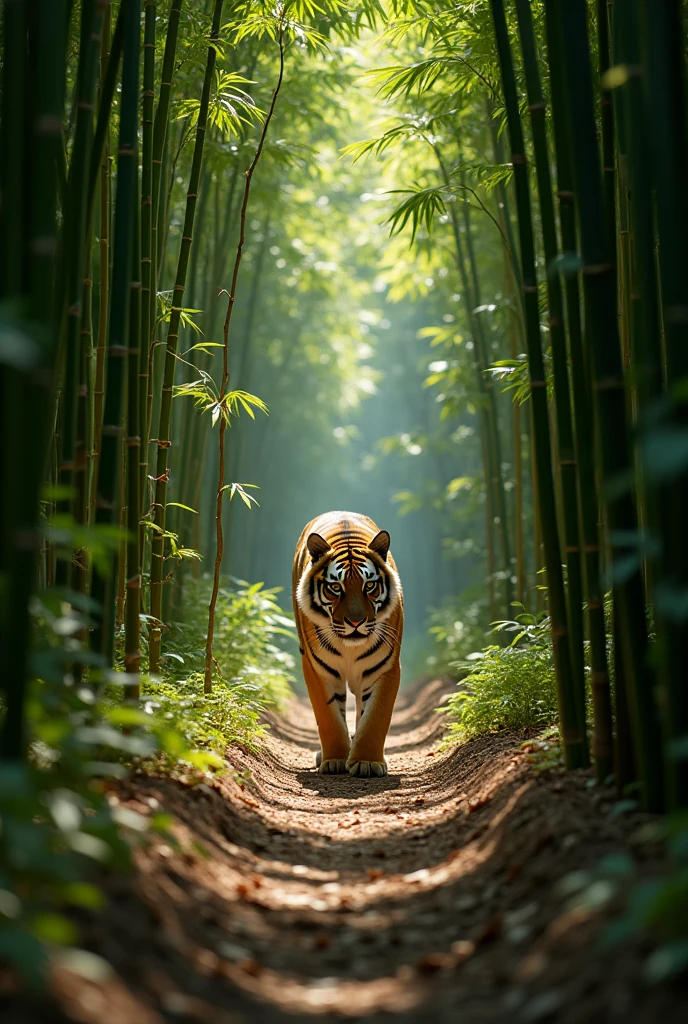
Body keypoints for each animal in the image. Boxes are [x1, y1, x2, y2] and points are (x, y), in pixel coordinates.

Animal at [290, 512, 403, 774]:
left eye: (369, 585)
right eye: (335, 587)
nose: (355, 622)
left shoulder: (385, 668)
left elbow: (375, 717)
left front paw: (367, 762)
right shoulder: (318, 669)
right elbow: (328, 717)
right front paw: (335, 760)